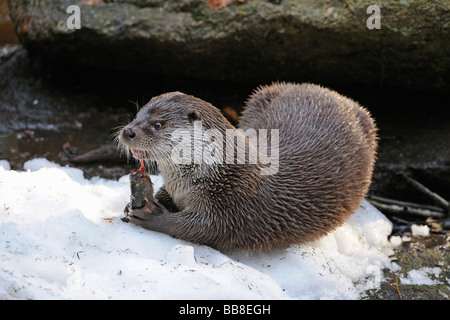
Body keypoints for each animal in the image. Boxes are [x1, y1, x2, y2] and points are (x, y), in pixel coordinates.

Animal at [118, 82, 378, 252]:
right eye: (137, 114)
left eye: (158, 124)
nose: (128, 131)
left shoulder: (234, 203)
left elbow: (203, 229)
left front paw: (154, 215)